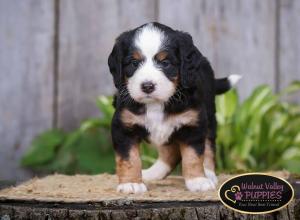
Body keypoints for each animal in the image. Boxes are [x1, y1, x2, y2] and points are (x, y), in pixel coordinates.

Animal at [108, 22, 241, 194]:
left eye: (165, 63)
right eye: (134, 63)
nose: (147, 86)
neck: (156, 104)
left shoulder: (193, 124)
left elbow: (193, 155)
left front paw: (198, 180)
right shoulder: (124, 126)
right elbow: (129, 158)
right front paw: (131, 183)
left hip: (210, 115)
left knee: (208, 145)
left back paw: (208, 173)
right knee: (169, 152)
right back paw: (153, 173)